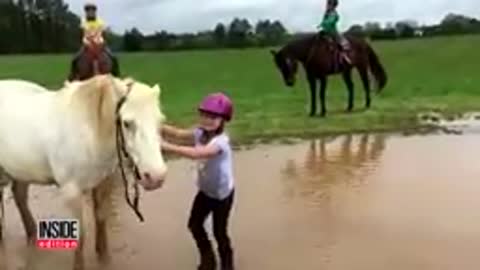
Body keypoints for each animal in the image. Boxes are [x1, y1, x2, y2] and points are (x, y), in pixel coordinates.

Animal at [0, 74, 168, 270]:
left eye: (160, 121)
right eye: (127, 123)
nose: (156, 176)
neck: (88, 132)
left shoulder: (103, 182)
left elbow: (101, 218)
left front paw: (104, 256)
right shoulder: (71, 191)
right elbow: (80, 234)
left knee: (19, 196)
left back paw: (32, 235)